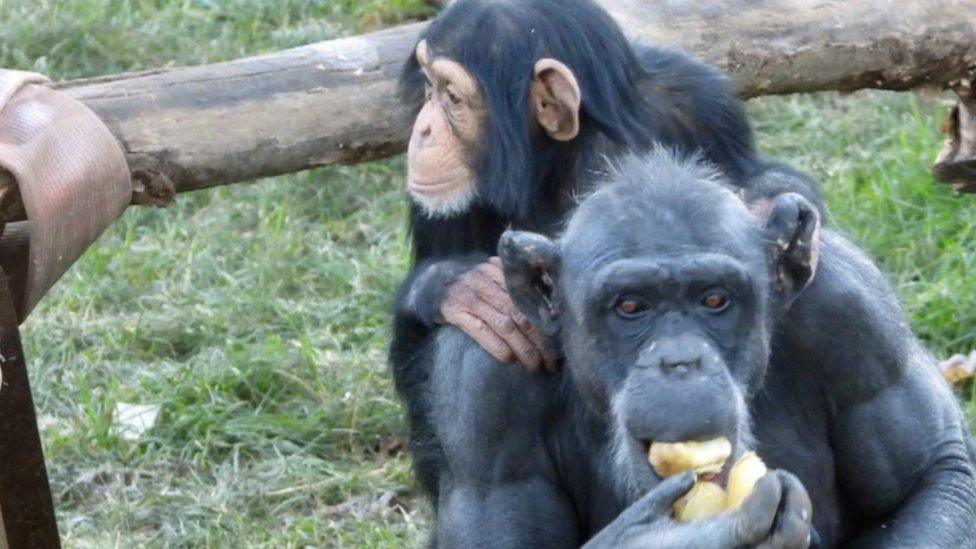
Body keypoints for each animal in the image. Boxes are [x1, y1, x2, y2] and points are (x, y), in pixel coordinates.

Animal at [388, 0, 824, 500]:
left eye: (452, 98)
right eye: (428, 87)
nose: (422, 130)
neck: (568, 151)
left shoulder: (701, 101)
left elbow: (755, 176)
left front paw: (776, 210)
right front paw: (464, 288)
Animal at [428, 148, 976, 544]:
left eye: (714, 299)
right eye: (630, 306)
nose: (679, 361)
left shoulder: (857, 315)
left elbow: (936, 478)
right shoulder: (483, 389)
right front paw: (690, 537)